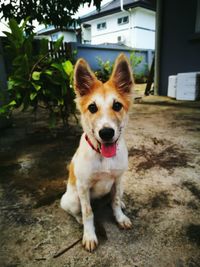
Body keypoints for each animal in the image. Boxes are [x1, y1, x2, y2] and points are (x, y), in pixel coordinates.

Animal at [60, 53, 134, 252]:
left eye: (117, 106)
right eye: (92, 108)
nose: (106, 133)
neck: (103, 157)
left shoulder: (118, 179)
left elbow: (114, 202)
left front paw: (120, 217)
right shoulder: (83, 187)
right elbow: (88, 213)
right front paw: (89, 235)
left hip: (120, 186)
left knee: (115, 197)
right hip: (72, 199)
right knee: (77, 211)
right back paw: (79, 221)